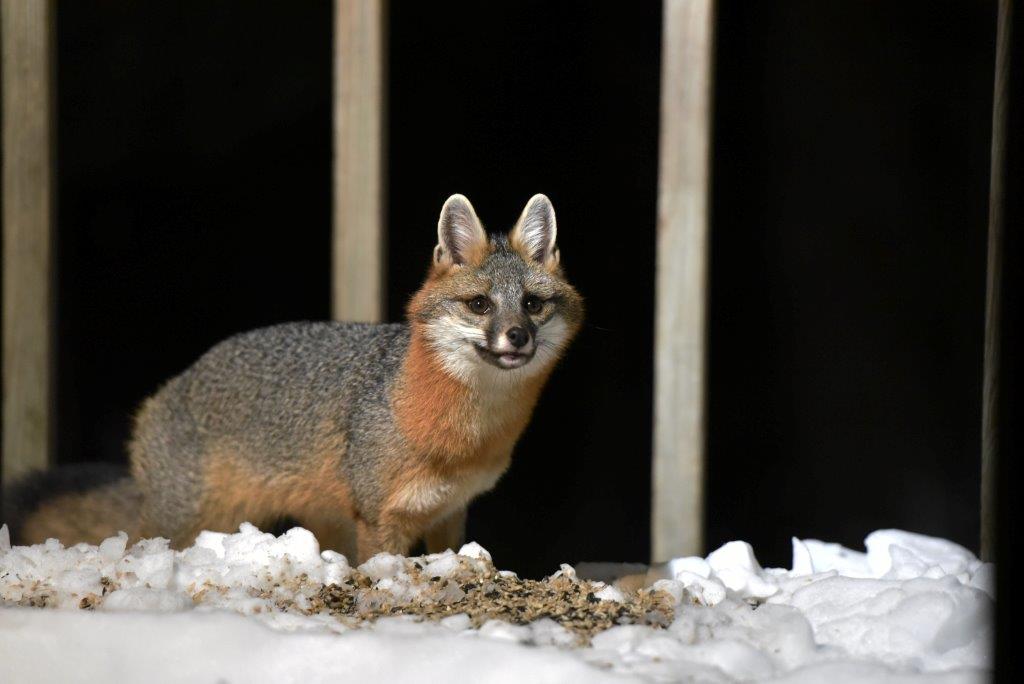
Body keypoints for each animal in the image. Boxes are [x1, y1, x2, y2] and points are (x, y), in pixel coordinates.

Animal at [2, 193, 583, 562]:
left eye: (532, 305)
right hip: (183, 521)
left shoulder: (449, 512)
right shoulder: (380, 518)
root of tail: (166, 394)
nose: (517, 336)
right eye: (480, 304)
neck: (461, 436)